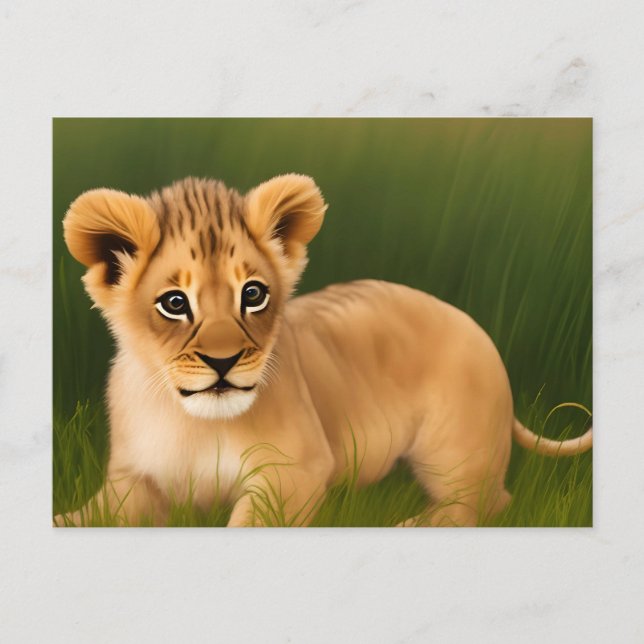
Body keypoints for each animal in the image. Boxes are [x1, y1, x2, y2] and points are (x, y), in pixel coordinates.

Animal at [54, 174, 592, 527]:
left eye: (253, 294)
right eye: (174, 303)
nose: (223, 362)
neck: (195, 424)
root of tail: (474, 323)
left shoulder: (298, 470)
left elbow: (250, 524)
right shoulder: (129, 482)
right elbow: (87, 516)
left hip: (455, 450)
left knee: (485, 503)